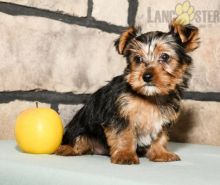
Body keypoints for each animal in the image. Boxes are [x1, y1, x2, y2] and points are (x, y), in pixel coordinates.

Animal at [56, 19, 199, 165]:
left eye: (165, 57)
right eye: (137, 59)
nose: (146, 76)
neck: (150, 96)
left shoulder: (163, 118)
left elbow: (160, 137)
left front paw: (160, 153)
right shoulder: (121, 114)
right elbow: (124, 135)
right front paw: (125, 155)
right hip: (80, 129)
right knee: (77, 140)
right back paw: (67, 149)